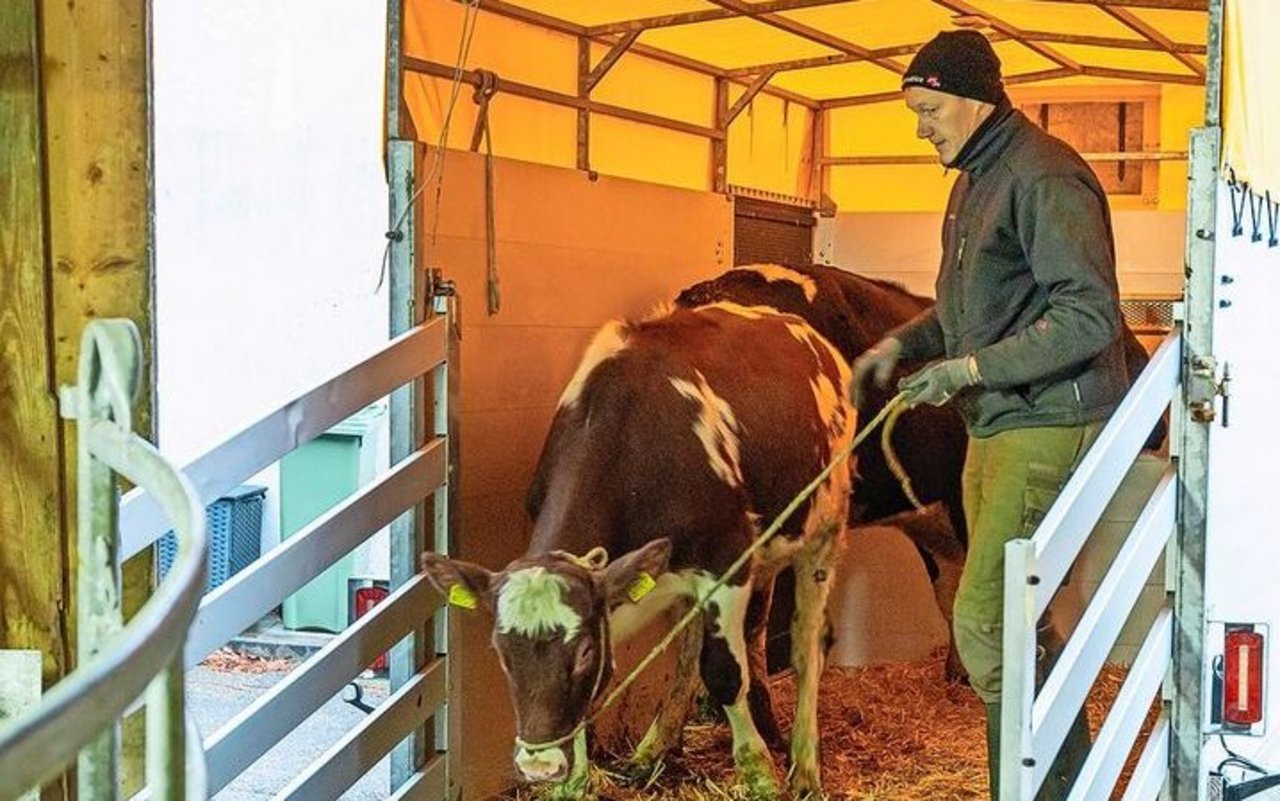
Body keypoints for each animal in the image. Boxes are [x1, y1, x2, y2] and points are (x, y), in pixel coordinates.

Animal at [424, 300, 855, 798]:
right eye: (500, 651)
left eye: (583, 651)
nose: (539, 765)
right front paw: (574, 782)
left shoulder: (727, 561)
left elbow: (725, 672)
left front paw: (759, 772)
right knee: (688, 651)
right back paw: (654, 747)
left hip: (824, 533)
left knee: (807, 646)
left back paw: (804, 766)